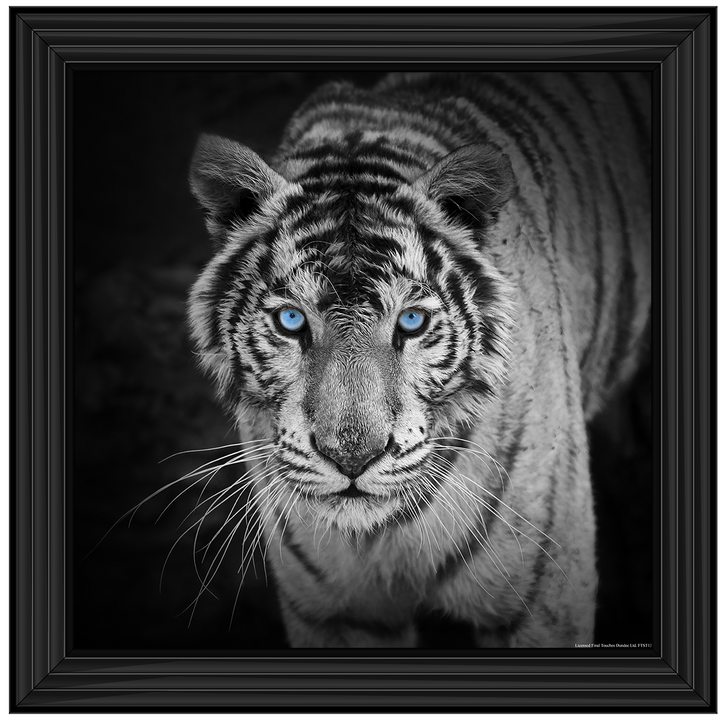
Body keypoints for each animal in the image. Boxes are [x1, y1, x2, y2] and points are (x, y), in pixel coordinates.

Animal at [186, 72, 650, 648]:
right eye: (292, 320)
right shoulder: (335, 612)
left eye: (410, 321)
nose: (352, 458)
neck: (380, 536)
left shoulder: (542, 603)